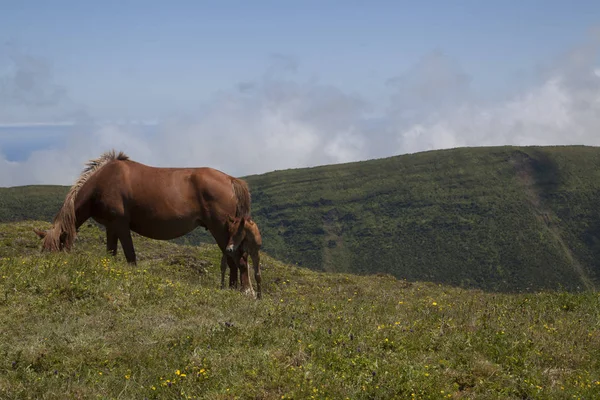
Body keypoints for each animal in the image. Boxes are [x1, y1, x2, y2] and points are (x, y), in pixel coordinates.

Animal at [32, 149, 254, 294]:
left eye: (56, 250)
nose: (50, 275)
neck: (101, 183)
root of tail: (231, 180)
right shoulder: (111, 227)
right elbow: (110, 254)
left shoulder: (121, 225)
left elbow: (130, 256)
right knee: (234, 261)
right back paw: (233, 290)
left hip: (221, 230)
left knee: (239, 259)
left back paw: (245, 291)